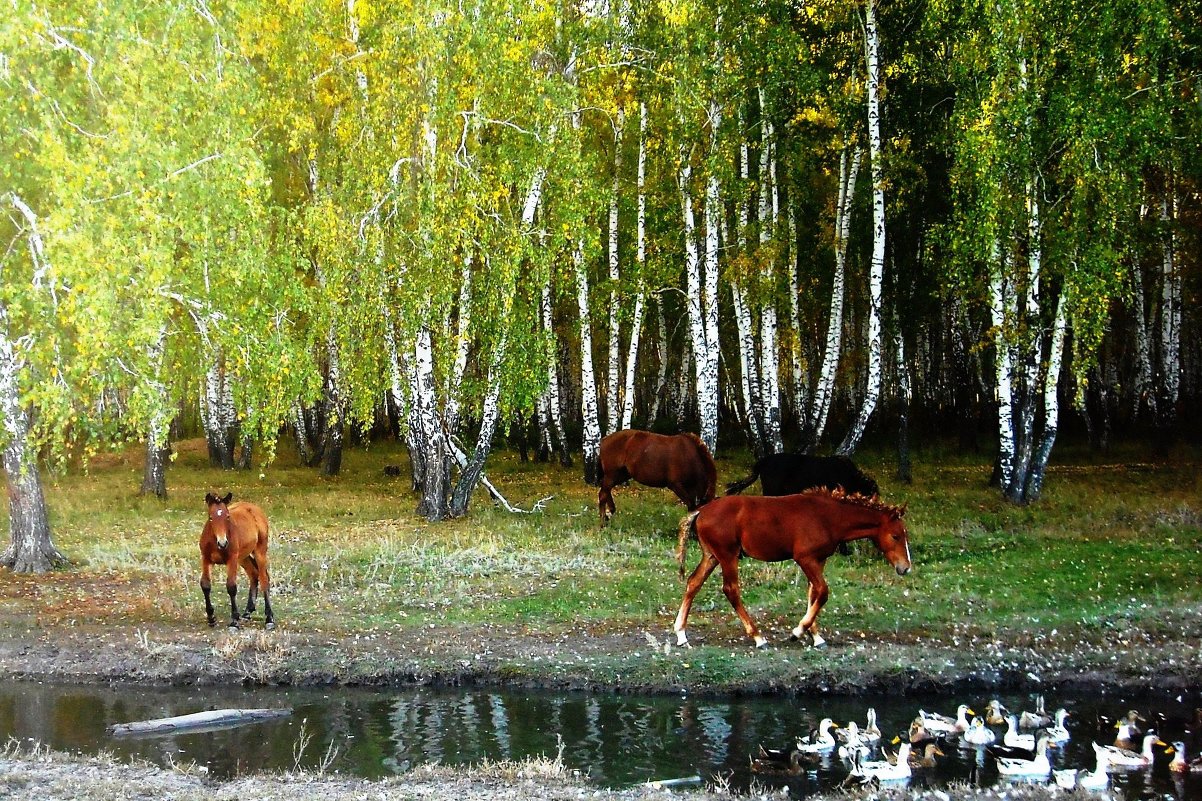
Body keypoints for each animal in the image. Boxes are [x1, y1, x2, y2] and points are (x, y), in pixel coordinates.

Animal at [201, 490, 276, 625]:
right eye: (210, 517)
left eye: (227, 516)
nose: (223, 543)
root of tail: (254, 508)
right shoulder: (205, 558)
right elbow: (205, 585)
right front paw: (211, 617)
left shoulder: (232, 560)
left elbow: (231, 587)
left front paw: (234, 620)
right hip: (243, 557)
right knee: (253, 574)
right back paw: (247, 612)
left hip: (259, 552)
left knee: (264, 579)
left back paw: (269, 618)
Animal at [677, 485, 908, 649]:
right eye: (895, 536)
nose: (905, 568)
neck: (828, 517)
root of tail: (701, 511)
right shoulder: (804, 558)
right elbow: (823, 591)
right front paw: (798, 632)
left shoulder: (818, 560)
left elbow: (813, 593)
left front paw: (816, 637)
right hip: (728, 555)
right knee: (730, 589)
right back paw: (758, 637)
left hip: (712, 556)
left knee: (693, 582)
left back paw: (681, 634)